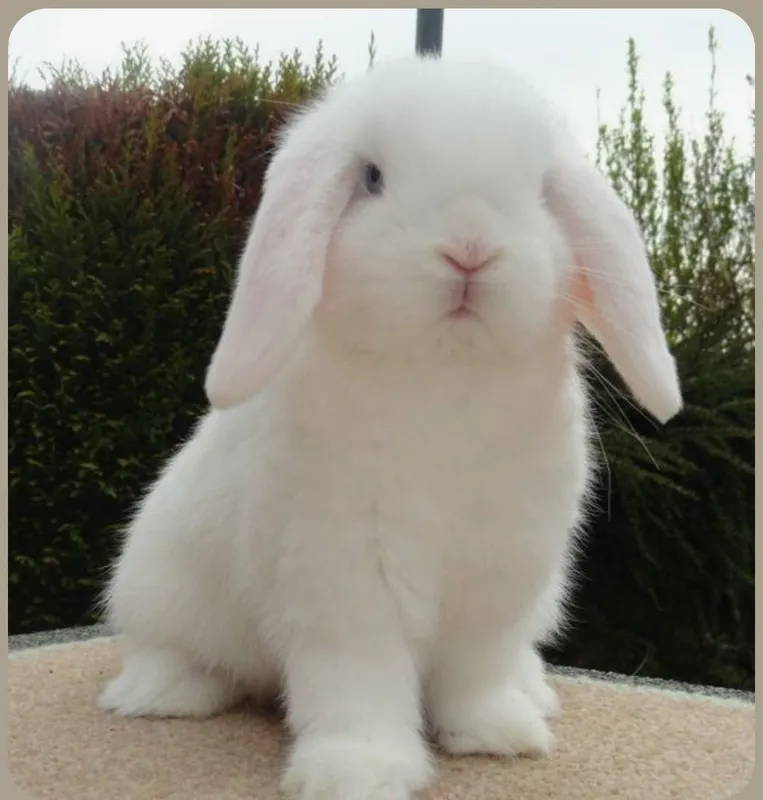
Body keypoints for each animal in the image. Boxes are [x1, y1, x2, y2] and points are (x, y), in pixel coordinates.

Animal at [98, 54, 682, 800]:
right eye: (373, 178)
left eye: (542, 191)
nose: (470, 249)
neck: (444, 376)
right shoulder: (345, 576)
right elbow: (359, 679)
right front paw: (357, 771)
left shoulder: (499, 577)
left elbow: (477, 670)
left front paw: (495, 736)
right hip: (161, 579)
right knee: (173, 648)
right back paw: (162, 695)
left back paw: (532, 696)